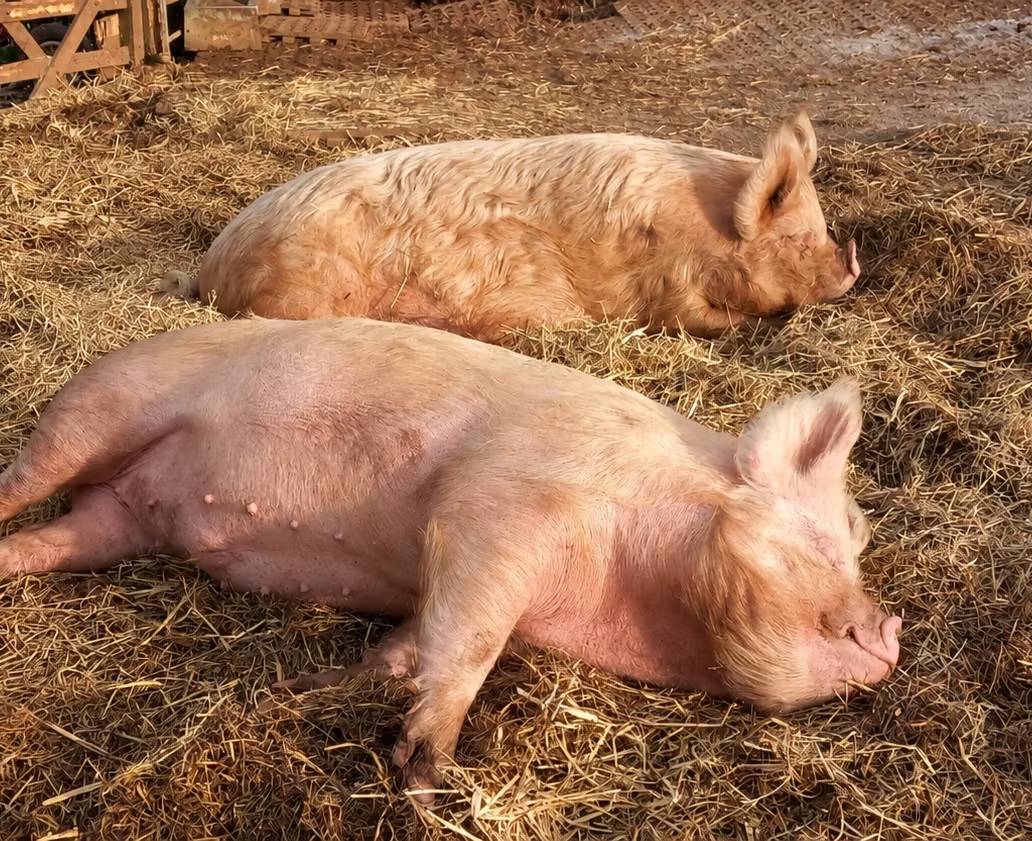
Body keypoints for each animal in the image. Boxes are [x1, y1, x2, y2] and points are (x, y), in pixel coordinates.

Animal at [0, 318, 899, 803]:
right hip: (93, 412)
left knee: (52, 539)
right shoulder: (495, 508)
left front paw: (317, 687)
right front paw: (427, 776)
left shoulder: (454, 587)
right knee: (22, 480)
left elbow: (416, 641)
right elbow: (468, 639)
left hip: (115, 521)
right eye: (830, 541)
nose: (890, 630)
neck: (628, 593)